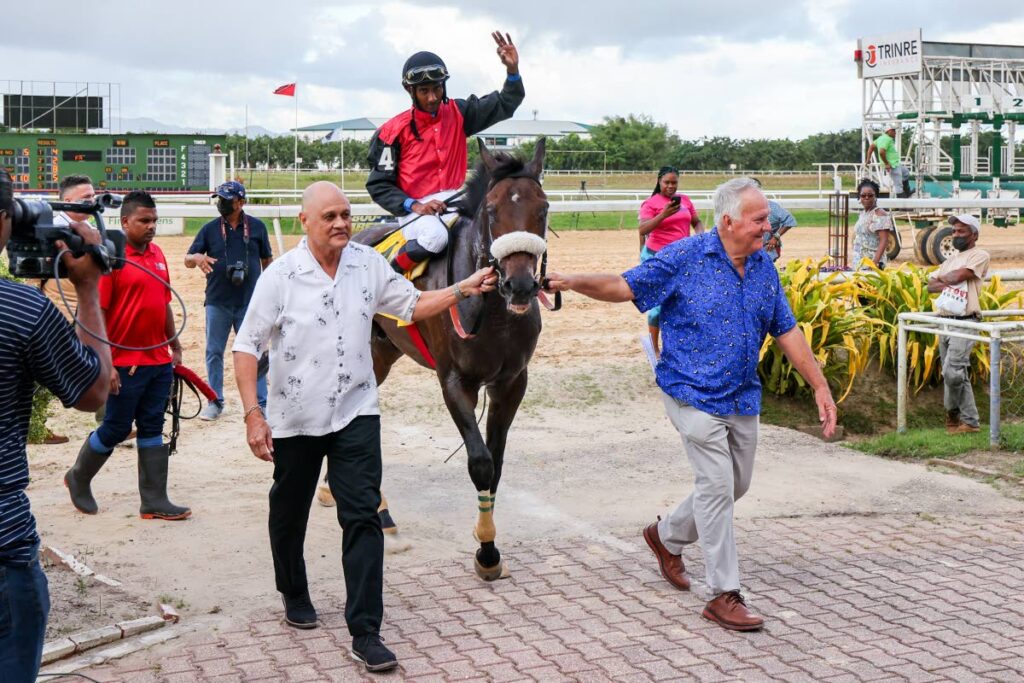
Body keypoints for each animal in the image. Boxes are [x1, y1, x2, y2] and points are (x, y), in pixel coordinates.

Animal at [360, 140, 552, 581]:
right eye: (492, 210)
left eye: (544, 208)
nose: (519, 284)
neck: (492, 312)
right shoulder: (454, 381)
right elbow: (480, 463)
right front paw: (486, 551)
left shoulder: (511, 382)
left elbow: (497, 463)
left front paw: (490, 545)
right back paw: (381, 515)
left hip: (385, 353)